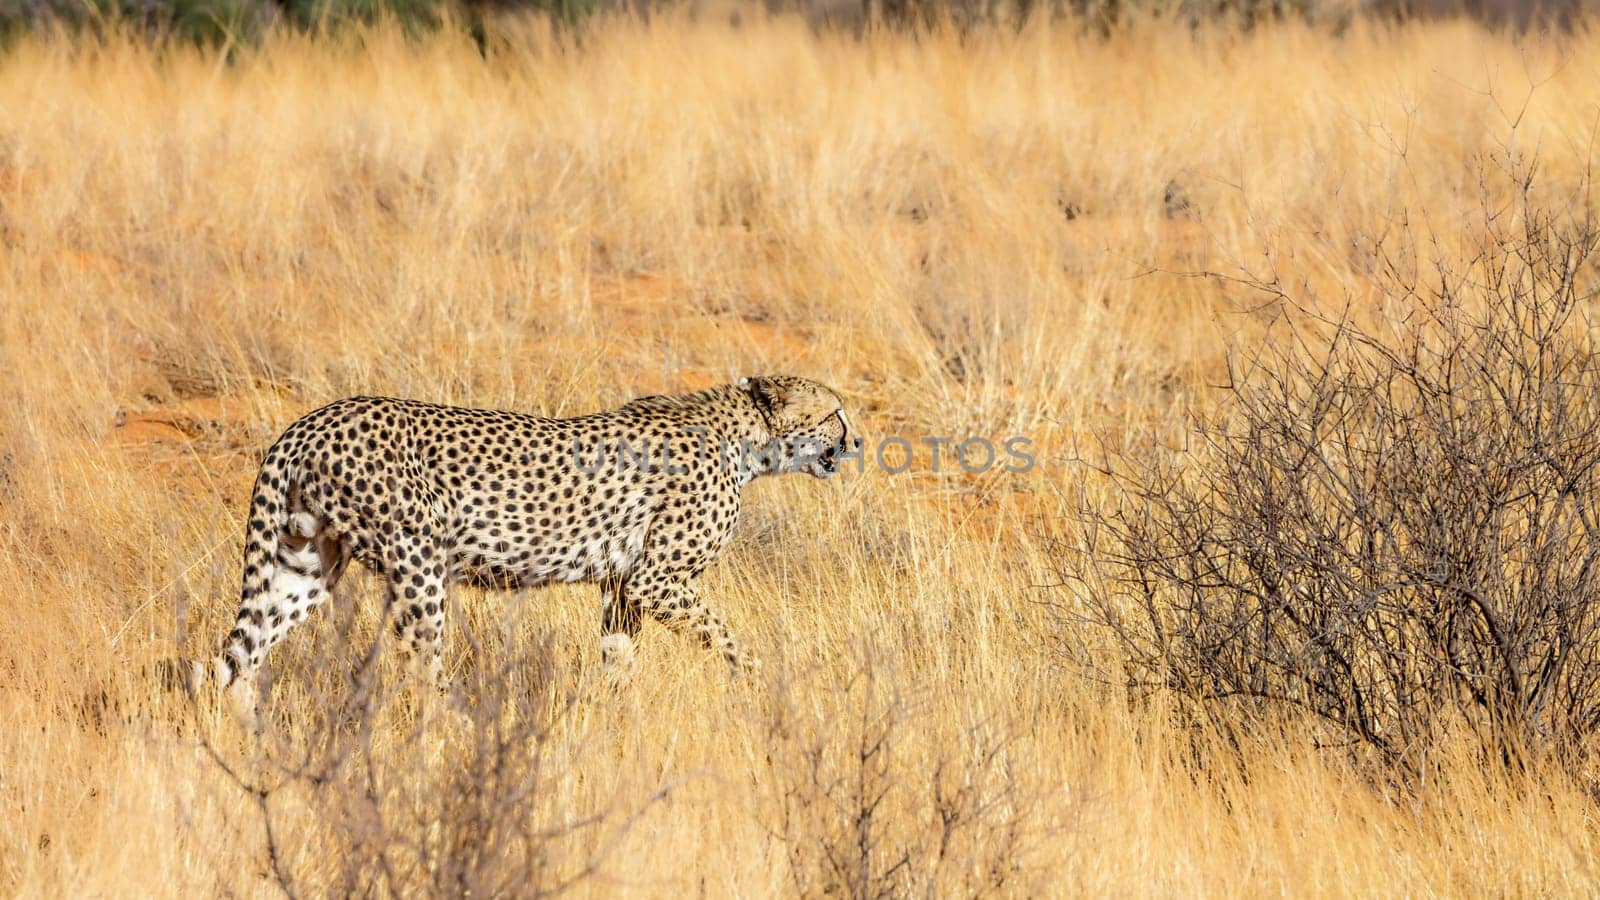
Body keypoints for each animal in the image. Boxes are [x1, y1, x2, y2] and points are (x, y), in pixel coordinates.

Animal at [188, 373, 857, 707]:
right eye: (835, 413)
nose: (856, 441)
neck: (747, 441)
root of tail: (308, 421)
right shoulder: (657, 578)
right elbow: (727, 639)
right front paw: (767, 685)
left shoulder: (624, 584)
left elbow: (619, 656)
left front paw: (615, 718)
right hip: (419, 560)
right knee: (419, 662)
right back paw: (456, 729)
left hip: (303, 565)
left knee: (239, 659)